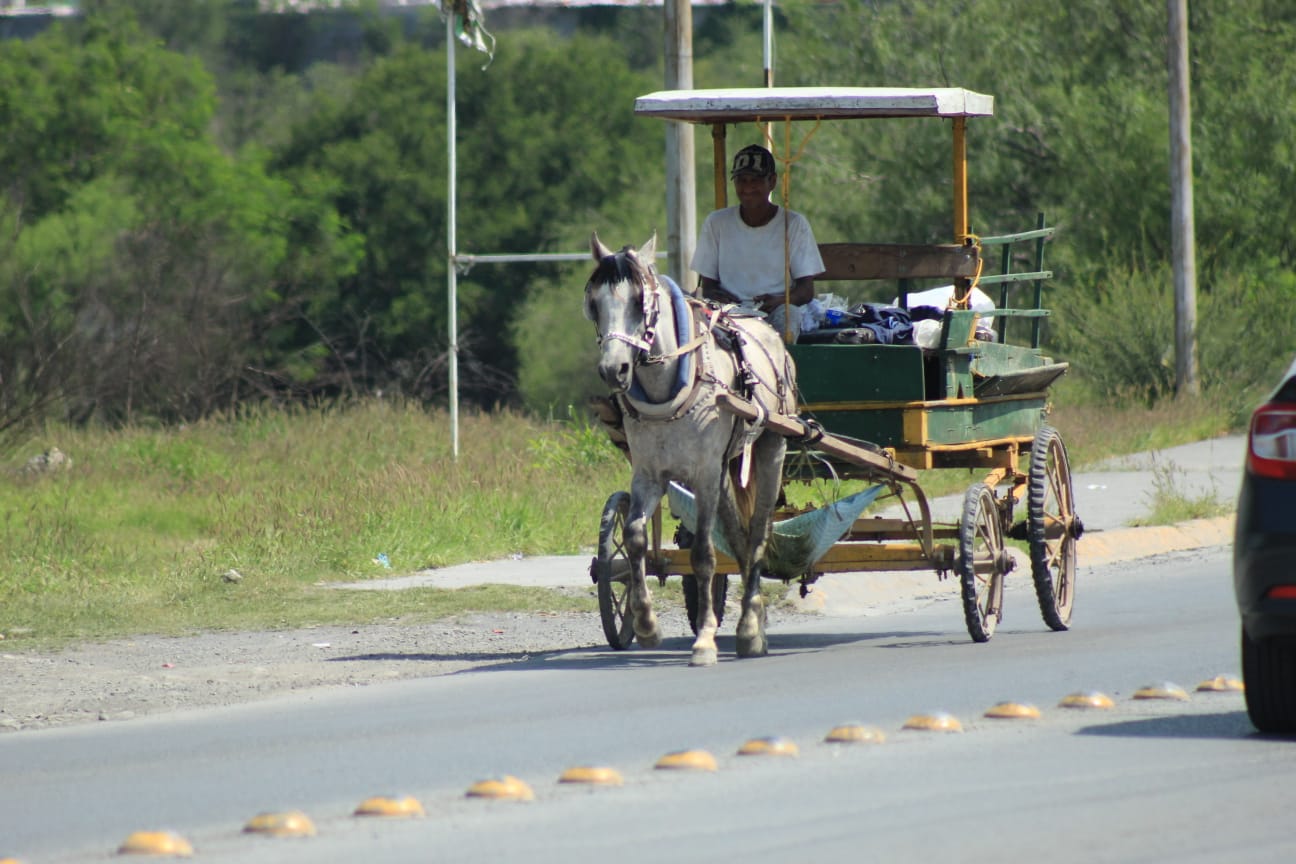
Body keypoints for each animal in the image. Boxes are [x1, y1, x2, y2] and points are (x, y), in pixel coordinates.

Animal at [583, 233, 793, 668]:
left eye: (639, 301)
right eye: (594, 303)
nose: (614, 370)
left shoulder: (704, 473)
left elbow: (703, 556)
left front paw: (705, 640)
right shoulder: (649, 475)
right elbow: (634, 539)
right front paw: (645, 625)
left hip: (771, 448)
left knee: (758, 533)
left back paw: (750, 629)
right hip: (727, 471)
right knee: (739, 536)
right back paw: (754, 616)